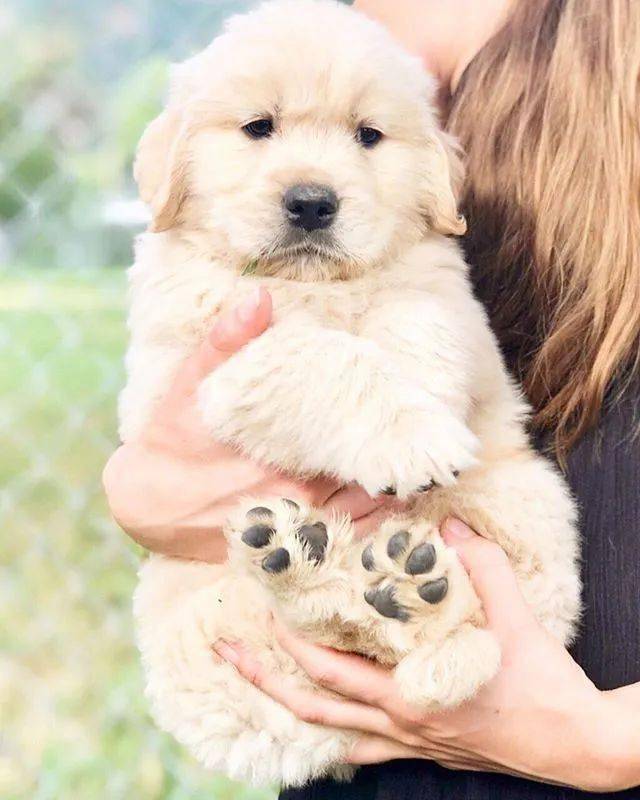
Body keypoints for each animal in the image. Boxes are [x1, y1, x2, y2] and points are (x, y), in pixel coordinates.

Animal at [122, 0, 584, 788]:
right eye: (258, 127)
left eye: (369, 136)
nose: (312, 203)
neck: (315, 286)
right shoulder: (221, 352)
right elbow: (327, 359)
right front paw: (411, 436)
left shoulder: (444, 290)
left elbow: (416, 320)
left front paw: (424, 396)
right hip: (205, 625)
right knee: (332, 629)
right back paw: (309, 560)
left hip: (528, 504)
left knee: (428, 633)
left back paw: (409, 585)